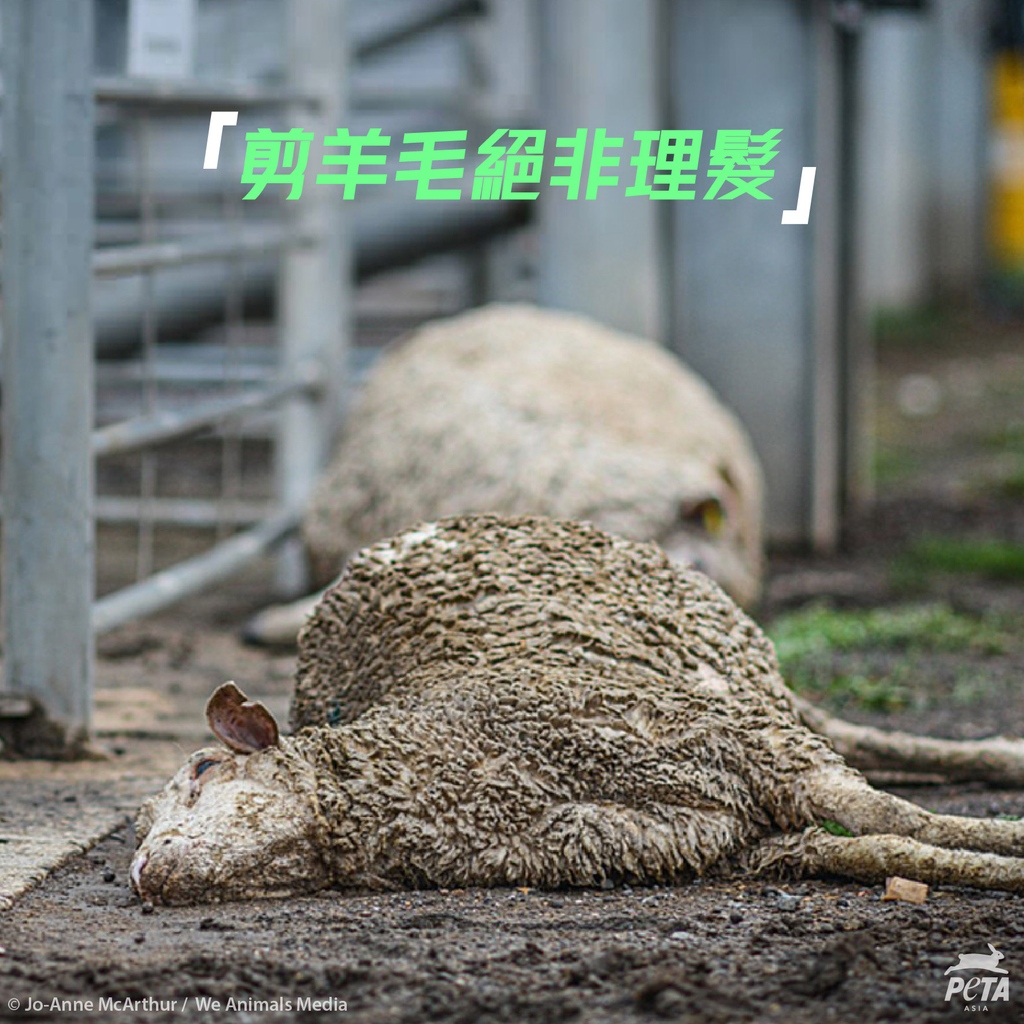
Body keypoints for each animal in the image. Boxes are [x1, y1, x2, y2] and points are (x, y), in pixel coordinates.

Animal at [131, 514, 1024, 905]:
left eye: (203, 769)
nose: (144, 873)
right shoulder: (721, 841)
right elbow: (879, 850)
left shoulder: (737, 748)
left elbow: (897, 820)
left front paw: (1009, 848)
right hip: (744, 700)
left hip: (742, 687)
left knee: (850, 736)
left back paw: (1001, 757)